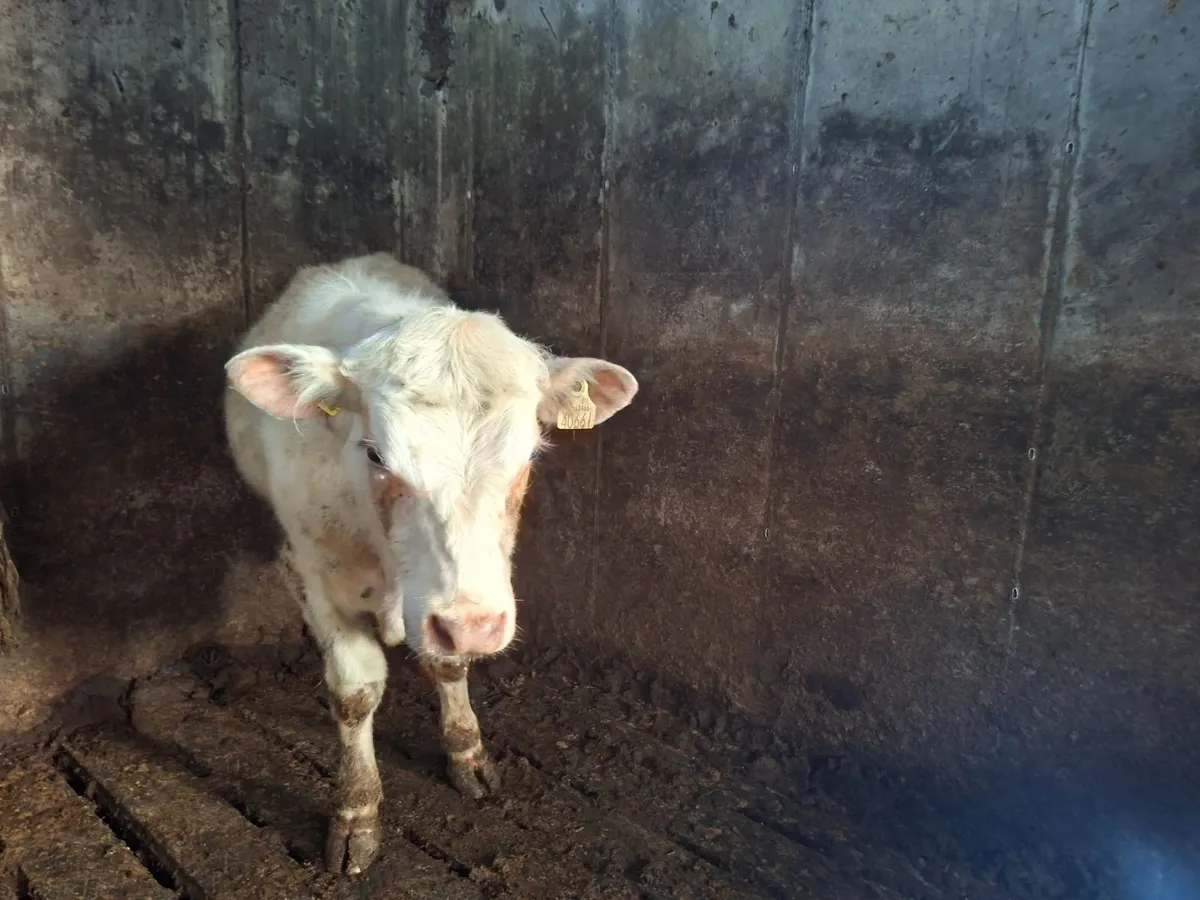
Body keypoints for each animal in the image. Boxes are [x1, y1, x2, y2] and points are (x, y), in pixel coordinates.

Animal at [222, 253, 637, 874]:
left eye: (529, 456)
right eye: (374, 453)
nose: (473, 625)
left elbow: (448, 665)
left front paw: (466, 752)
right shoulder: (312, 567)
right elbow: (355, 690)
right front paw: (356, 811)